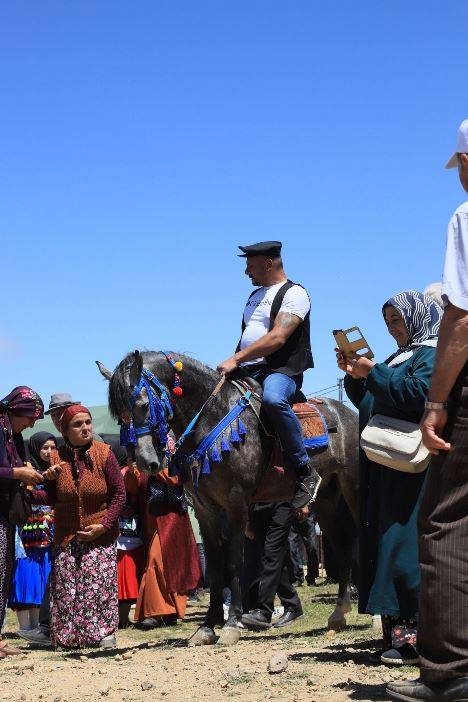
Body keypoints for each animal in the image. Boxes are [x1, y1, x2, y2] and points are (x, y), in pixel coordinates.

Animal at [96, 352, 358, 648]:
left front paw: (232, 623)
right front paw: (207, 626)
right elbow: (215, 566)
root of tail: (348, 415)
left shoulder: (236, 504)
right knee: (343, 545)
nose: (145, 461)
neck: (214, 417)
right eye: (119, 416)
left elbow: (234, 562)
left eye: (141, 405)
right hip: (327, 498)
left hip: (354, 487)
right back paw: (339, 613)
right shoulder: (206, 510)